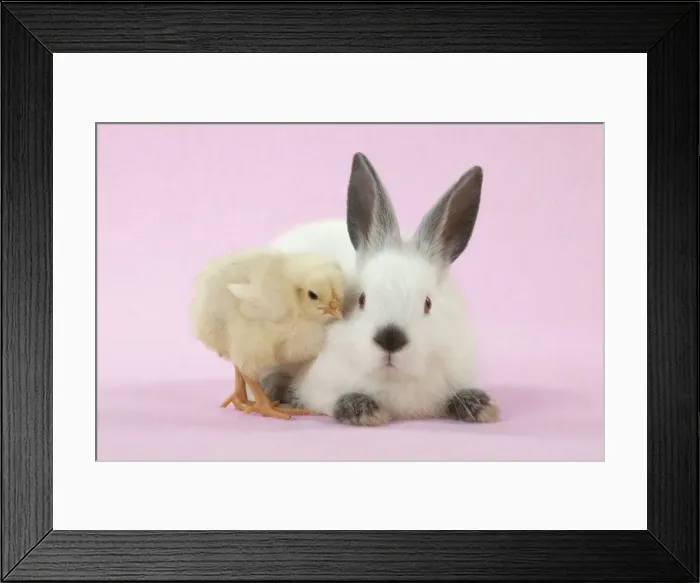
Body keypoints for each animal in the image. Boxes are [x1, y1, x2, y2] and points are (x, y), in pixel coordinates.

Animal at [267, 152, 500, 426]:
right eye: (362, 299)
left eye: (428, 303)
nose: (390, 339)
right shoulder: (317, 385)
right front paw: (365, 411)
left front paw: (481, 407)